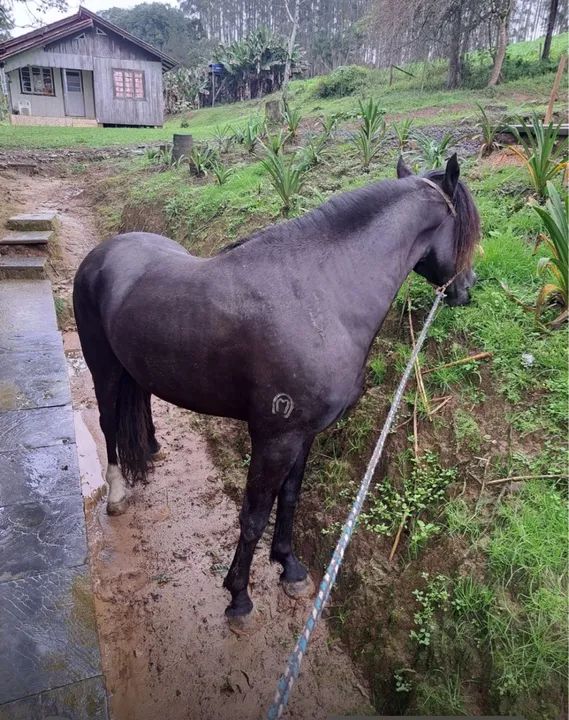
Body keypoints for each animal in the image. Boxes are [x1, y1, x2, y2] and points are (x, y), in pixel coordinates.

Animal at [73, 154, 480, 630]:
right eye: (468, 227)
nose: (467, 289)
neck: (322, 296)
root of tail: (102, 253)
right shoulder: (275, 438)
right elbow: (253, 514)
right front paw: (239, 597)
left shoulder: (304, 435)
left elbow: (289, 499)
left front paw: (289, 567)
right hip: (103, 369)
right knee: (108, 423)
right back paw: (118, 494)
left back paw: (153, 450)